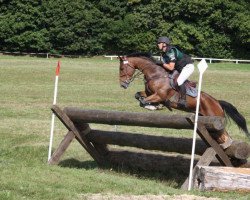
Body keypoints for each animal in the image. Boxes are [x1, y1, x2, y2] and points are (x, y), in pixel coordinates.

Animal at [118, 52, 249, 148]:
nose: (123, 85)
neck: (156, 74)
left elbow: (144, 101)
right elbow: (138, 96)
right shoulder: (149, 93)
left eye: (122, 68)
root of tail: (217, 102)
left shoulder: (160, 95)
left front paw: (156, 106)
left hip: (215, 121)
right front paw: (154, 105)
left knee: (226, 137)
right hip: (210, 125)